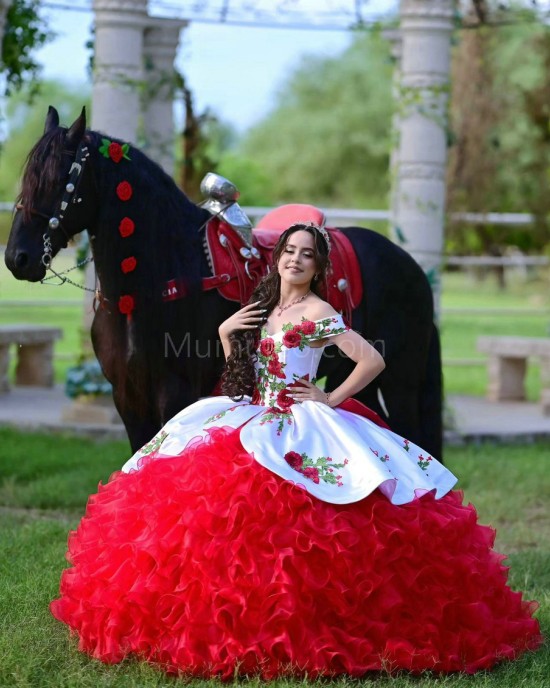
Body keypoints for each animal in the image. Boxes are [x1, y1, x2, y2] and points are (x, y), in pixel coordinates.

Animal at [4, 107, 444, 460]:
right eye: (27, 177)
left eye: (61, 179)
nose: (17, 258)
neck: (149, 288)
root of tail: (411, 267)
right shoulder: (127, 396)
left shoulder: (175, 393)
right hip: (353, 377)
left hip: (401, 378)